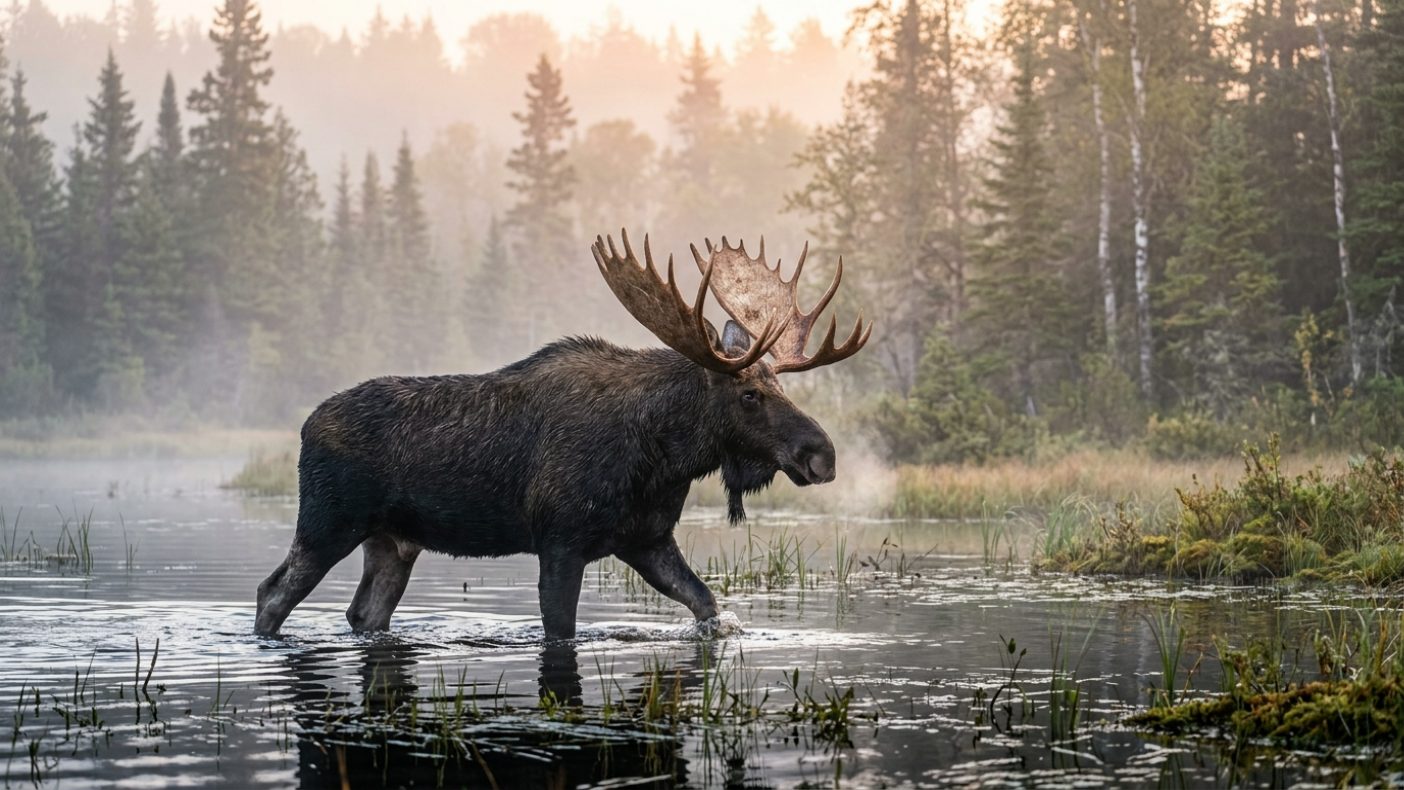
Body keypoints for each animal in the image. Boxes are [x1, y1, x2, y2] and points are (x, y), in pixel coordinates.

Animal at [254, 230, 871, 639]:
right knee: (271, 593)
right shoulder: (561, 539)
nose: (822, 455)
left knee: (363, 613)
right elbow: (561, 630)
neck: (663, 458)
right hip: (328, 523)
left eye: (778, 383)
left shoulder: (648, 539)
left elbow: (707, 606)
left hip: (393, 540)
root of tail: (306, 428)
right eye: (748, 394)